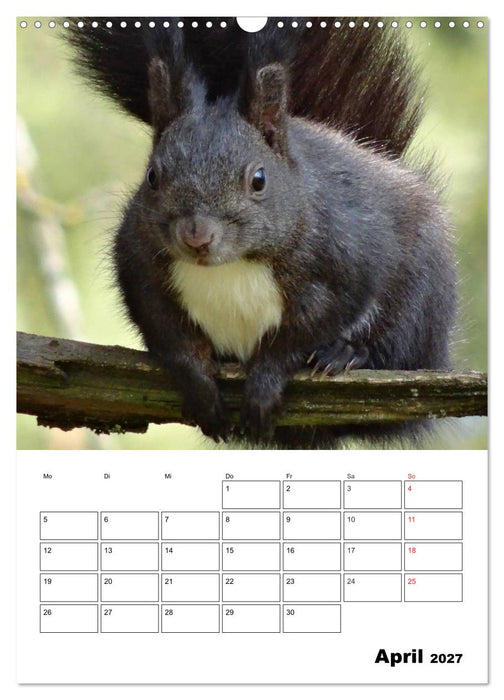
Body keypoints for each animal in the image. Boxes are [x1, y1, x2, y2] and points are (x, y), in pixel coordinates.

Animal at [67, 17, 456, 447]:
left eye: (259, 179)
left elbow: (300, 337)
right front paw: (202, 389)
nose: (197, 236)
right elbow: (172, 339)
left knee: (399, 345)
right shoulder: (141, 268)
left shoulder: (346, 263)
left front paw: (266, 385)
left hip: (422, 296)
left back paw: (347, 353)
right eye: (152, 176)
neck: (231, 266)